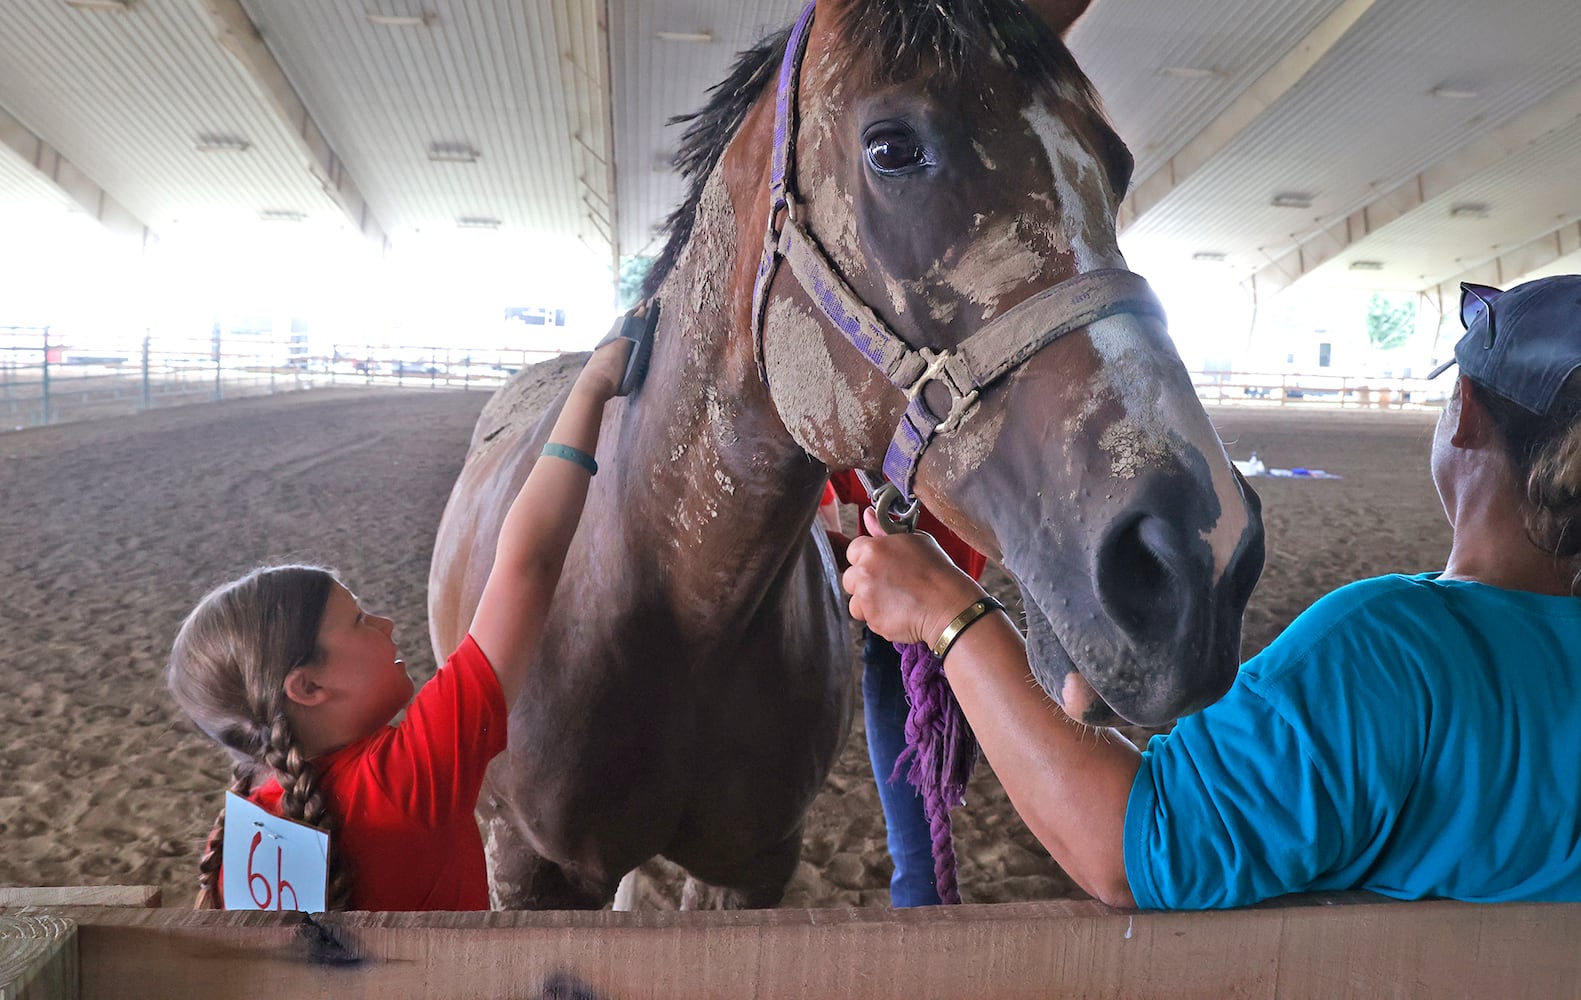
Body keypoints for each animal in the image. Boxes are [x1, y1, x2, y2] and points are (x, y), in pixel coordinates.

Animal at [430, 0, 1258, 909]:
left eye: (1117, 166)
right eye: (891, 148)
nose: (1199, 557)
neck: (670, 603)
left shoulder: (751, 870)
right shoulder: (525, 868)